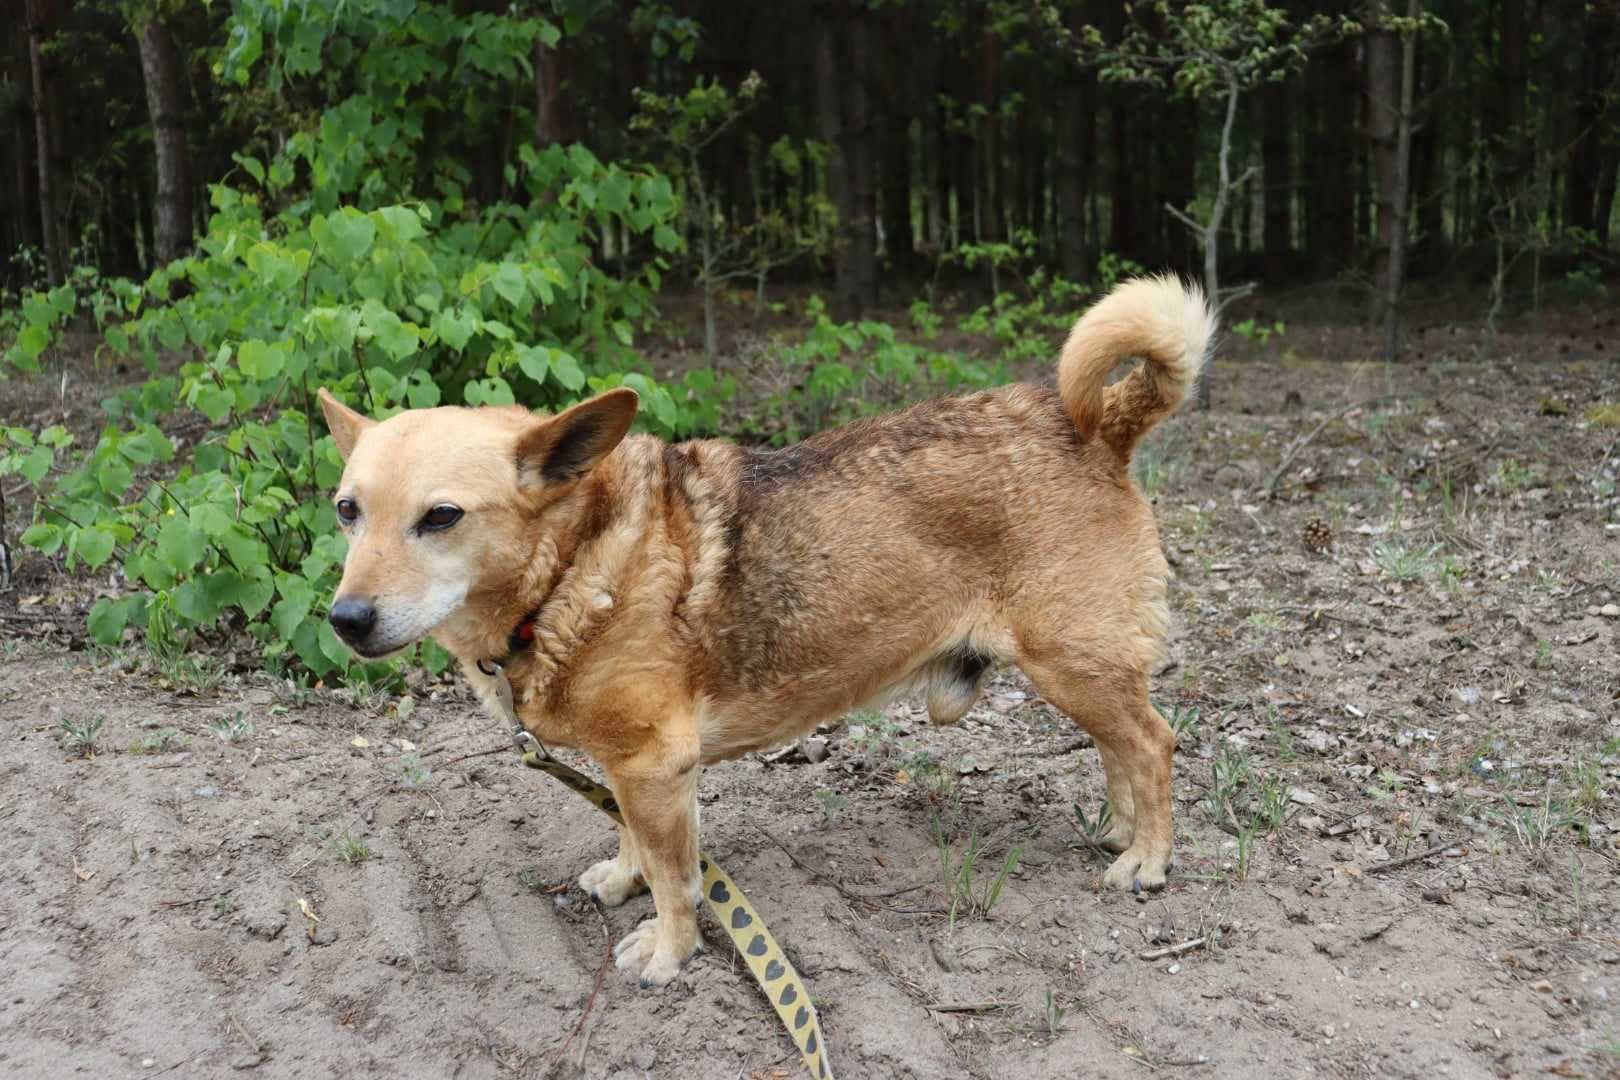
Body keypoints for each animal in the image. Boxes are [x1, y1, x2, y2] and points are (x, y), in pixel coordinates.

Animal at [315, 276, 1211, 990]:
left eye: (441, 517)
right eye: (347, 510)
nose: (345, 620)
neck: (575, 567)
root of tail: (1099, 424)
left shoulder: (655, 766)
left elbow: (677, 879)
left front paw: (669, 951)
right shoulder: (633, 770)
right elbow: (635, 842)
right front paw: (623, 879)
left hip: (1071, 665)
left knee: (1152, 743)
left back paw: (1149, 859)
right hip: (1081, 673)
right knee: (1120, 748)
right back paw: (1122, 832)